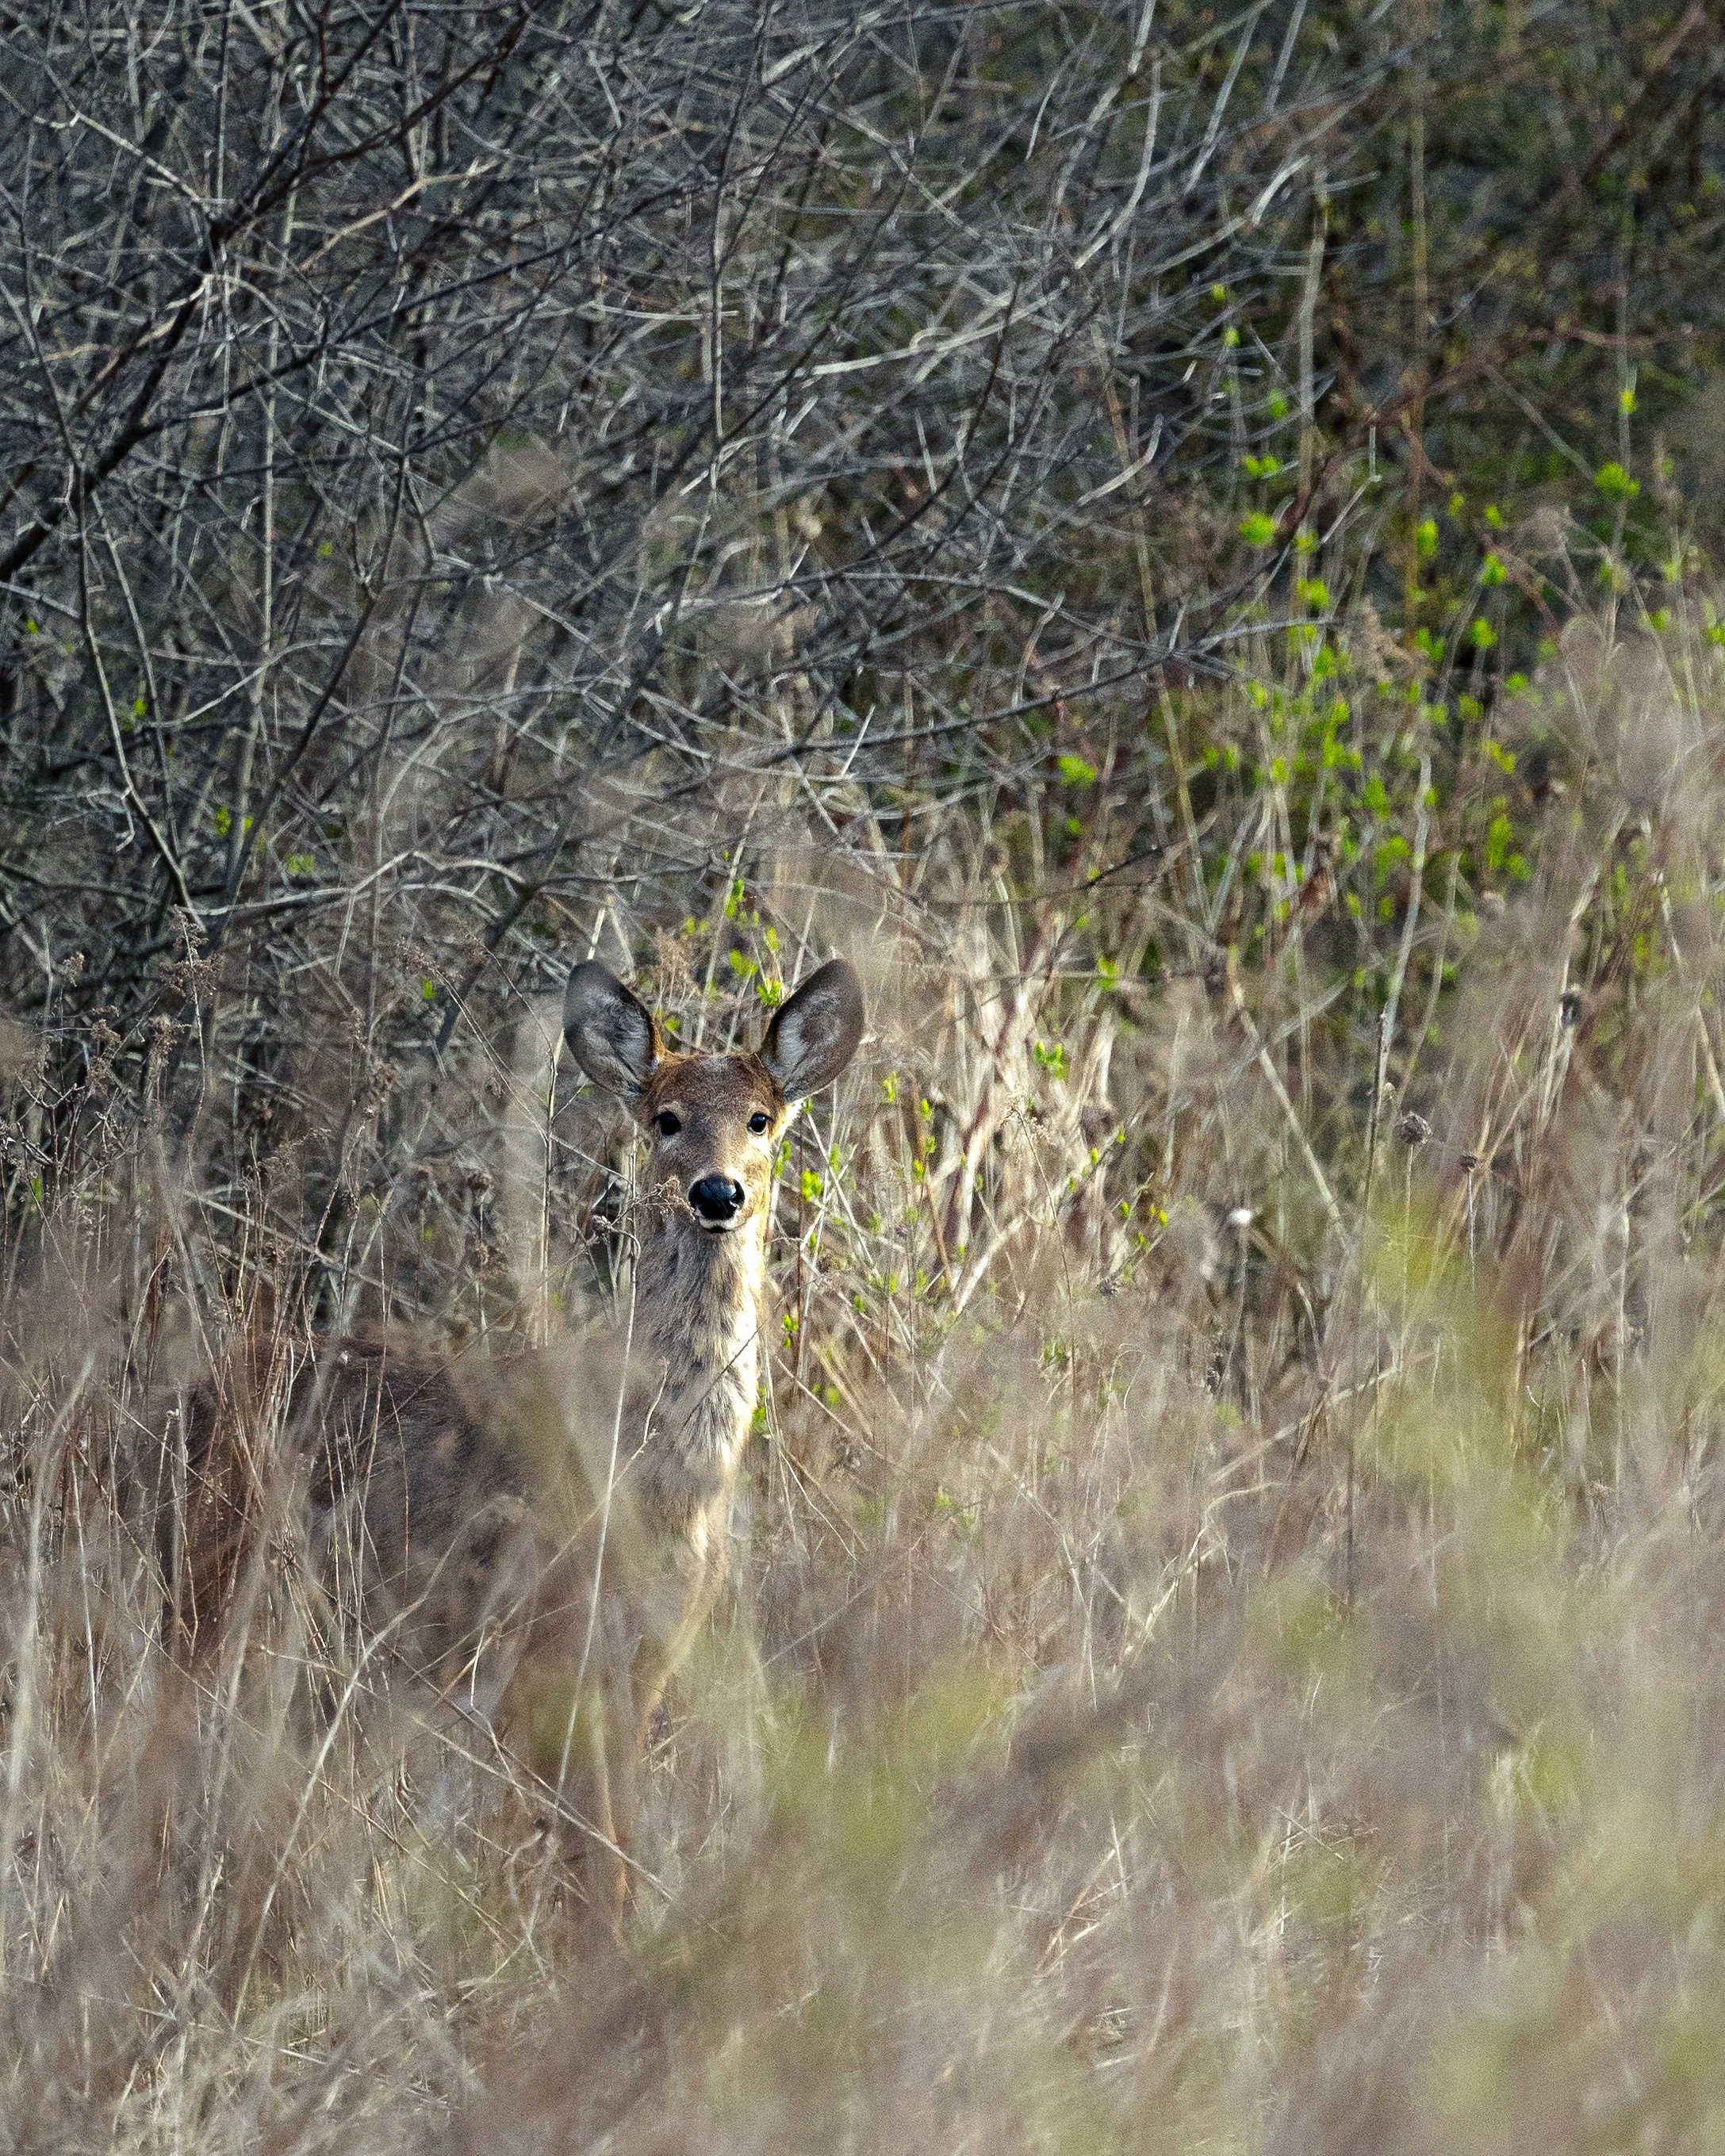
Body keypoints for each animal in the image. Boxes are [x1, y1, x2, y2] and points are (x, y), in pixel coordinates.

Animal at [151, 954, 864, 1911]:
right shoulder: (552, 1644)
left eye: (761, 1117)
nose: (718, 1192)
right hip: (217, 1578)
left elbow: (615, 1842)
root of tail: (183, 1399)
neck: (663, 1479)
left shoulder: (652, 1653)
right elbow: (593, 1856)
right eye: (665, 1117)